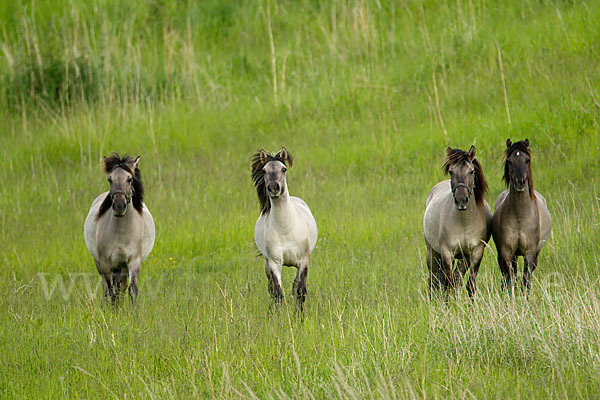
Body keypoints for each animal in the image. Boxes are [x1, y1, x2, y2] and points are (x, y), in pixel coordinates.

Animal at [84, 153, 155, 304]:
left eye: (130, 179)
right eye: (110, 179)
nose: (118, 205)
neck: (122, 232)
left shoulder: (133, 262)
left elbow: (131, 290)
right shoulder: (105, 264)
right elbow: (110, 292)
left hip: (122, 266)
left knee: (121, 287)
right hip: (102, 264)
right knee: (108, 288)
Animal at [251, 148, 318, 310]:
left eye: (284, 169)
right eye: (264, 170)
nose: (273, 187)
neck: (285, 230)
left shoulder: (303, 261)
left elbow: (300, 292)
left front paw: (299, 316)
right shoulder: (275, 263)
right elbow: (278, 294)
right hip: (267, 264)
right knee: (271, 289)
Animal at [422, 147, 492, 296]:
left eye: (471, 171)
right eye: (451, 171)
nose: (461, 200)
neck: (464, 222)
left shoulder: (475, 253)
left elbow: (469, 285)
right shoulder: (447, 253)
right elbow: (447, 284)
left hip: (462, 258)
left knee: (455, 279)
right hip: (432, 252)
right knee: (434, 280)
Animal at [490, 140, 552, 294]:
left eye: (527, 160)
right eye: (509, 161)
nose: (520, 182)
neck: (519, 216)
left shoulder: (529, 253)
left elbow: (526, 281)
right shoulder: (506, 253)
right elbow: (510, 280)